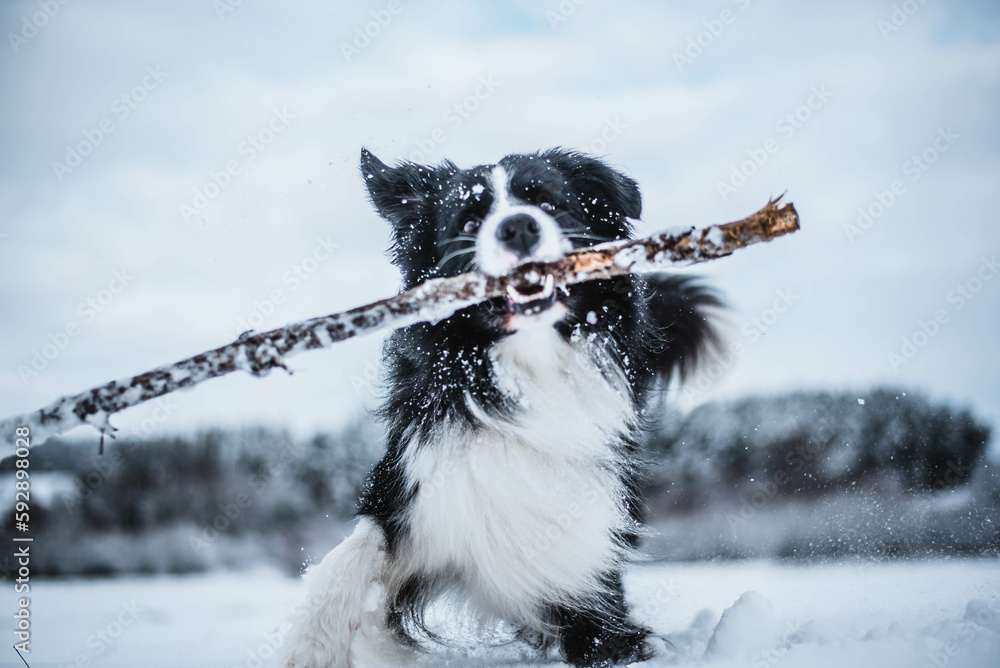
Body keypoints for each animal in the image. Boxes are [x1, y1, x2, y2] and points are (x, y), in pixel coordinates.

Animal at [282, 149, 720, 664]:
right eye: (470, 221)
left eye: (549, 204)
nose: (518, 227)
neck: (527, 371)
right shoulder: (411, 487)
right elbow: (353, 550)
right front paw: (313, 643)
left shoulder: (589, 568)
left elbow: (604, 625)